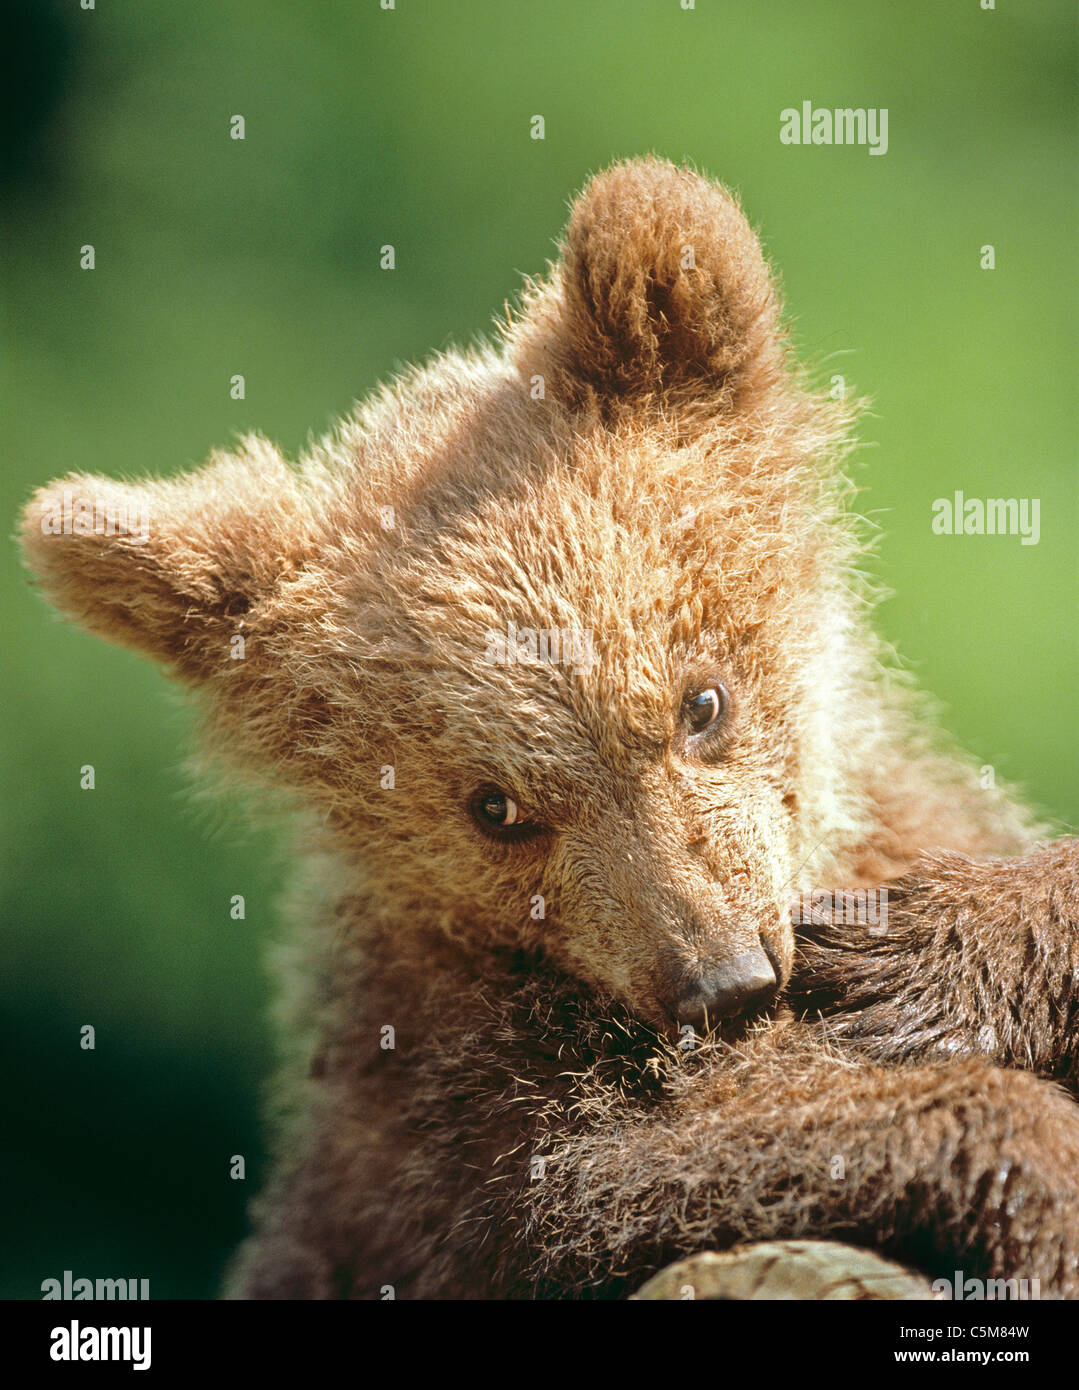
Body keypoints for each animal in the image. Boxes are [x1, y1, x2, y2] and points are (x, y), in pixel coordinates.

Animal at [20, 157, 1079, 1300]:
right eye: (494, 807)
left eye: (699, 702)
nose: (721, 981)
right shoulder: (448, 1085)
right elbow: (594, 1171)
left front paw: (924, 948)